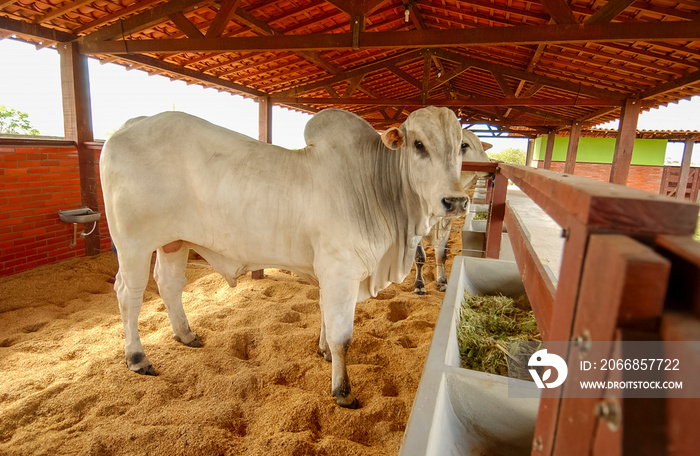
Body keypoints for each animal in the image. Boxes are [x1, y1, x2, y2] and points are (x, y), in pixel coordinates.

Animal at [100, 108, 470, 410]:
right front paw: (342, 390)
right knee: (129, 295)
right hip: (133, 245)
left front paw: (322, 352)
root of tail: (130, 125)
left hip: (173, 242)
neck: (374, 186)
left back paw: (186, 335)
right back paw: (137, 357)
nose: (455, 201)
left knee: (169, 284)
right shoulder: (341, 271)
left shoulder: (330, 274)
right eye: (418, 144)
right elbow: (342, 336)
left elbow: (325, 318)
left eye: (460, 148)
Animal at [410, 129, 492, 292]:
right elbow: (420, 257)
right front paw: (419, 285)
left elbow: (441, 255)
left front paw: (442, 281)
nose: (490, 167)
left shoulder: (446, 223)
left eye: (481, 145)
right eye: (464, 144)